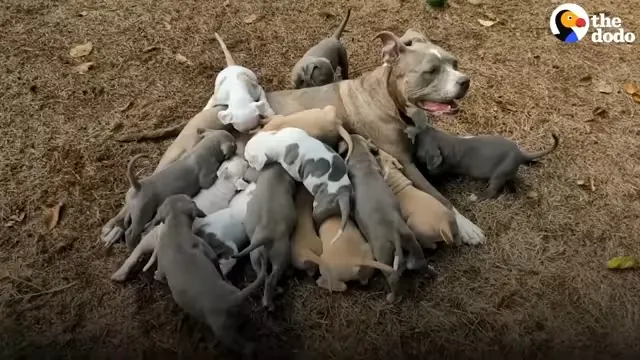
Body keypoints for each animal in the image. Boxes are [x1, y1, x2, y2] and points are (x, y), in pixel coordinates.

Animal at [101, 28, 484, 248]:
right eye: (430, 71)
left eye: (453, 62)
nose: (465, 81)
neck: (390, 97)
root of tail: (213, 107)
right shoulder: (403, 160)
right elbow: (440, 197)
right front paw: (467, 227)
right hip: (178, 156)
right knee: (141, 189)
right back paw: (115, 227)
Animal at [232, 165, 298, 310]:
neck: (273, 169)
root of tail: (264, 236)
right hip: (281, 254)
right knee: (271, 279)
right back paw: (270, 303)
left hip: (254, 256)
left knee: (262, 276)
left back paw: (274, 293)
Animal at [348, 134, 428, 302]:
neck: (362, 160)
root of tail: (395, 234)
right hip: (411, 241)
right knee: (421, 262)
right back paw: (432, 272)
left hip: (383, 255)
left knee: (393, 279)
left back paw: (391, 298)